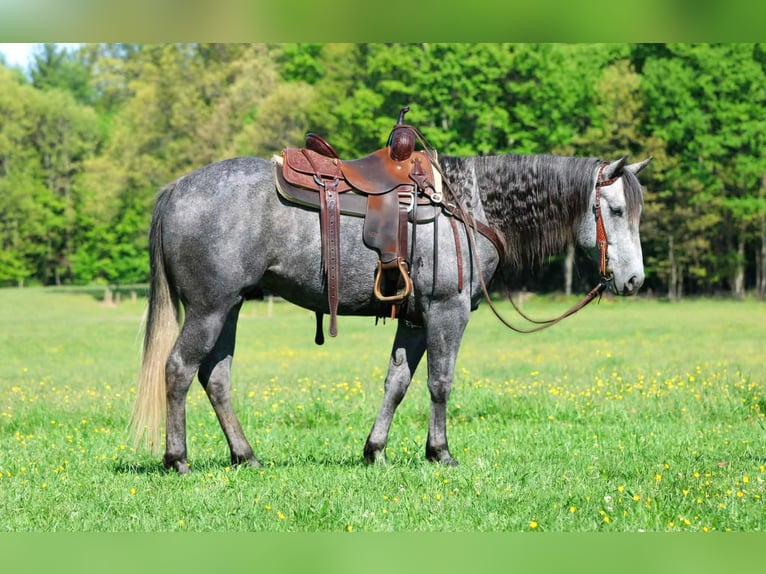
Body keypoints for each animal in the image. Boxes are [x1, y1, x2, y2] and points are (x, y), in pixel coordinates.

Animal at [129, 149, 651, 473]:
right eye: (617, 210)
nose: (634, 280)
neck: (467, 208)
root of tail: (176, 188)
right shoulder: (447, 312)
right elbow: (440, 383)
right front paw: (440, 452)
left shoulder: (416, 320)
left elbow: (397, 383)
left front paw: (375, 450)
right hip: (209, 309)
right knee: (178, 369)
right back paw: (177, 458)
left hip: (230, 307)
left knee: (215, 378)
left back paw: (246, 456)